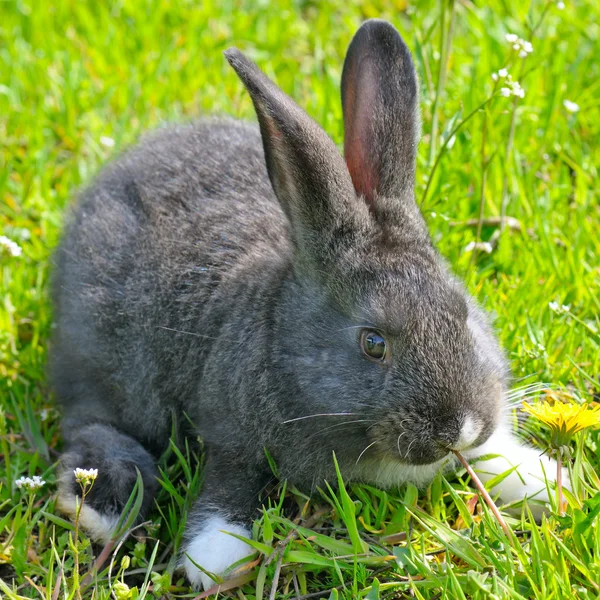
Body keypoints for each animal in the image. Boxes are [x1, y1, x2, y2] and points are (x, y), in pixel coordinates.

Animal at [50, 18, 564, 592]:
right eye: (373, 343)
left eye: (464, 314)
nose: (460, 427)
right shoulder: (229, 432)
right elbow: (230, 482)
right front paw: (218, 557)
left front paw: (544, 480)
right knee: (92, 422)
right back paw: (105, 503)